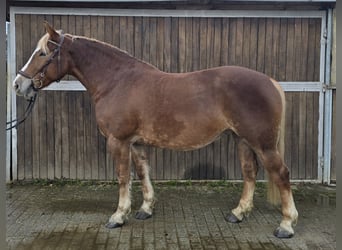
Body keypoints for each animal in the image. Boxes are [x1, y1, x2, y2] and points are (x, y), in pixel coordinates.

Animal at [13, 22, 296, 238]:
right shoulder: (135, 143)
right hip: (243, 140)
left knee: (281, 174)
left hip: (263, 144)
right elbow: (142, 173)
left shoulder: (118, 141)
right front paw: (145, 209)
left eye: (42, 53)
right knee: (250, 173)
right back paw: (238, 213)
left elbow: (123, 177)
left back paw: (286, 225)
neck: (117, 81)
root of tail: (270, 81)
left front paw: (118, 216)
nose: (18, 84)